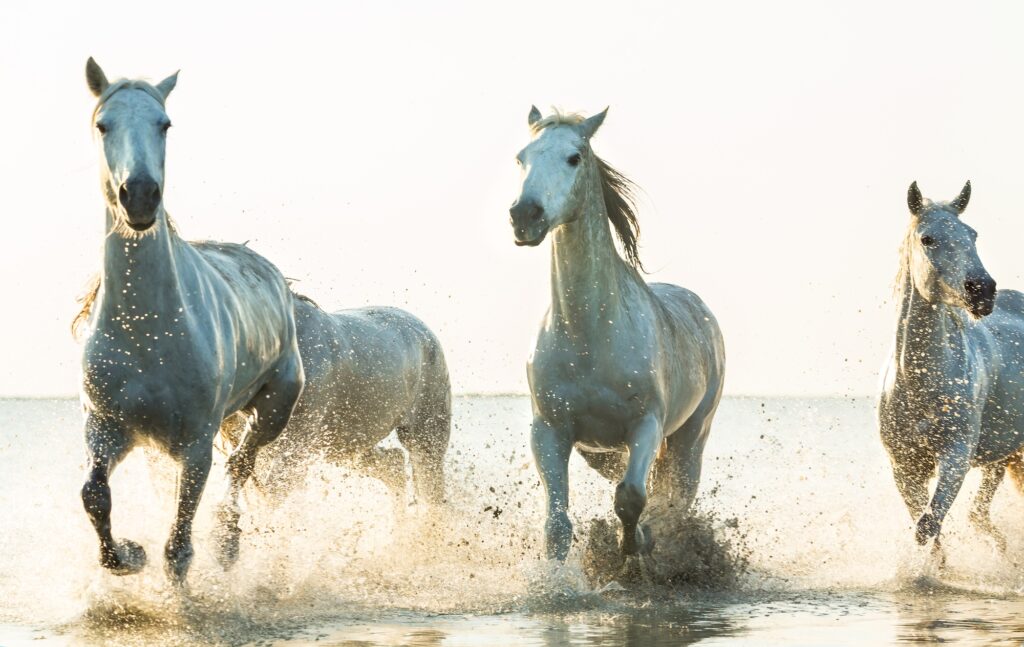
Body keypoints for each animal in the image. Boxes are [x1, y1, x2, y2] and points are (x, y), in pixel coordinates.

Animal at [75, 58, 303, 581]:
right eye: (103, 124)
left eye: (164, 124)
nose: (139, 196)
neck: (145, 329)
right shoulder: (105, 427)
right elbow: (94, 496)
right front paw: (127, 556)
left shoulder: (195, 445)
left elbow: (178, 548)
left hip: (273, 408)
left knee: (240, 466)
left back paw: (228, 541)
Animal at [507, 107, 724, 565]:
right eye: (521, 157)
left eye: (574, 157)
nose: (525, 216)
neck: (590, 336)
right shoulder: (549, 430)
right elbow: (557, 525)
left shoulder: (645, 426)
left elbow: (631, 498)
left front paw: (633, 549)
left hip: (692, 436)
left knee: (677, 498)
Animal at [876, 181, 1024, 556]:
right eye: (927, 238)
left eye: (972, 234)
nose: (983, 290)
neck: (920, 383)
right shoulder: (905, 467)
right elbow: (928, 529)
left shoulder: (955, 458)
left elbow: (927, 526)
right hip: (1000, 456)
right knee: (979, 516)